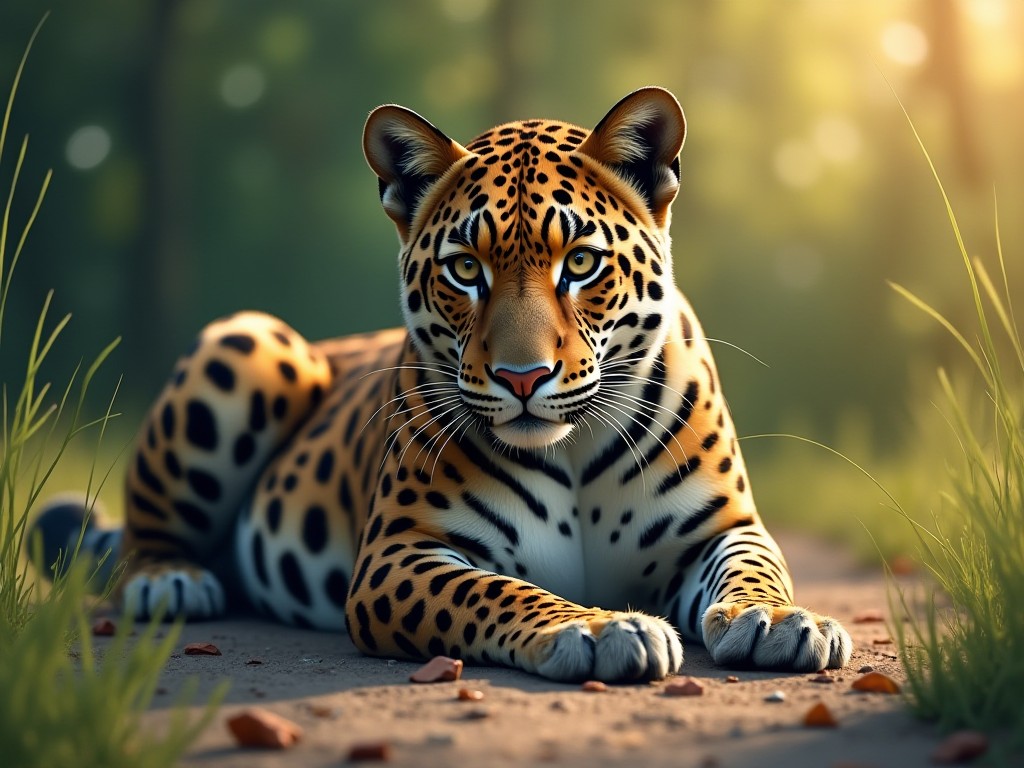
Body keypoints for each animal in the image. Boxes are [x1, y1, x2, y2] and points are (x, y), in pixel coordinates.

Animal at [34, 87, 852, 682]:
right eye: (465, 269)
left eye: (580, 263)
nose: (524, 377)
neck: (572, 448)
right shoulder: (401, 552)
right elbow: (496, 589)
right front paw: (596, 627)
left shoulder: (720, 527)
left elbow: (754, 567)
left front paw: (783, 622)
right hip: (253, 340)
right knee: (145, 533)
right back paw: (170, 579)